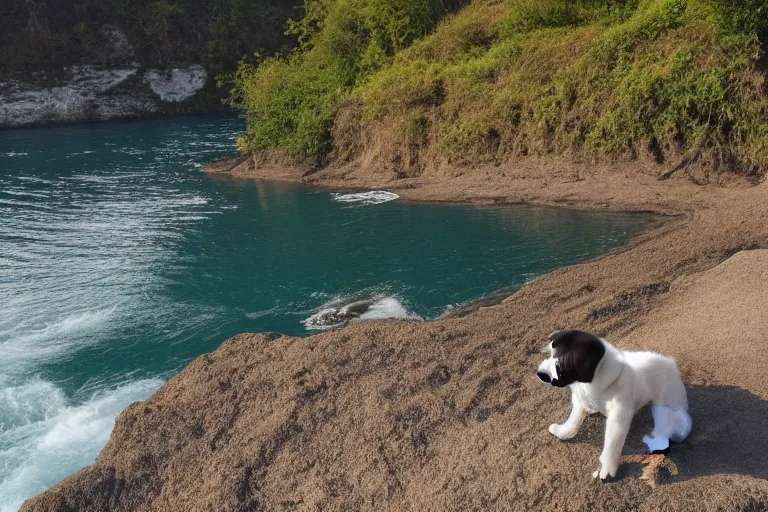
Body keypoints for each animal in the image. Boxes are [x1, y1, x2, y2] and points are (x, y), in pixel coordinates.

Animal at [536, 328, 692, 480]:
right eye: (550, 354)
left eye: (561, 365)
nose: (540, 374)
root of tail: (671, 364)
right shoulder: (580, 400)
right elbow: (572, 421)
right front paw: (561, 431)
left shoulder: (619, 416)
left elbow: (613, 441)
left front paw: (607, 467)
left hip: (669, 409)